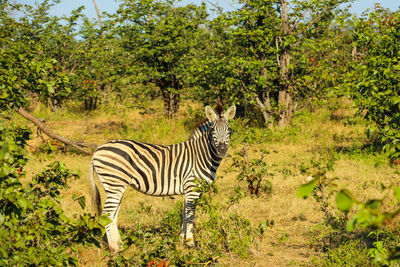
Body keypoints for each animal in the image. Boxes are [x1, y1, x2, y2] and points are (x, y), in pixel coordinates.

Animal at [89, 104, 236, 251]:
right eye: (212, 130)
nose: (222, 150)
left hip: (116, 186)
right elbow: (190, 216)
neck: (200, 155)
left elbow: (184, 214)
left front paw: (180, 240)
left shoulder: (188, 190)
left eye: (229, 129)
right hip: (114, 183)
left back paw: (119, 244)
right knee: (107, 214)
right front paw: (190, 243)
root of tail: (97, 150)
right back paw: (114, 248)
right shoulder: (192, 188)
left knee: (113, 214)